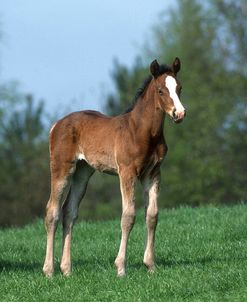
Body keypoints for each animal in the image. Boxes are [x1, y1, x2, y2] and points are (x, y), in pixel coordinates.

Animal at [42, 57, 185, 278]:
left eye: (179, 88)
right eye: (161, 90)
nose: (179, 113)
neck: (142, 131)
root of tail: (56, 124)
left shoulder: (153, 173)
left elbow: (152, 215)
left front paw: (151, 265)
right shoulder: (127, 172)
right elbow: (128, 216)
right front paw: (121, 268)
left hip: (82, 173)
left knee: (69, 212)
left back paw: (67, 270)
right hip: (61, 168)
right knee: (52, 211)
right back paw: (49, 270)